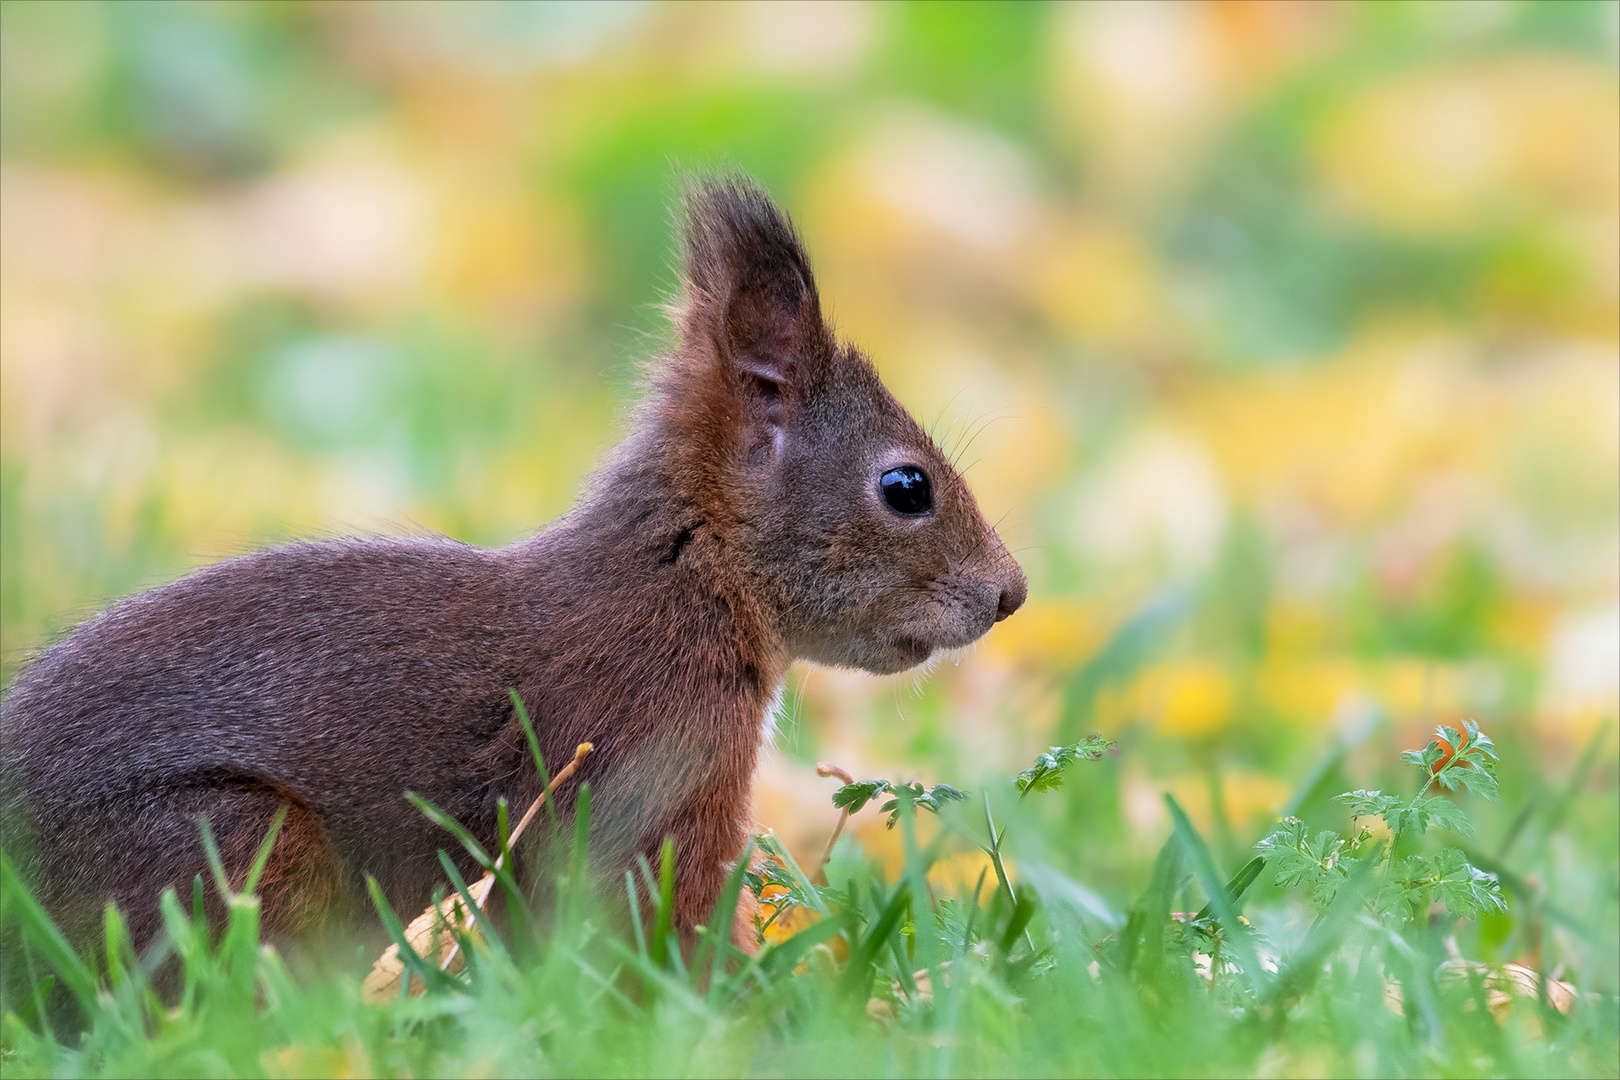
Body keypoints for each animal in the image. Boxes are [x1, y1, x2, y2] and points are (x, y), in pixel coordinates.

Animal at [3, 177, 1023, 965]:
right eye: (906, 487)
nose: (1011, 594)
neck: (686, 581)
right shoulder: (640, 765)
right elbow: (664, 921)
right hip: (219, 847)